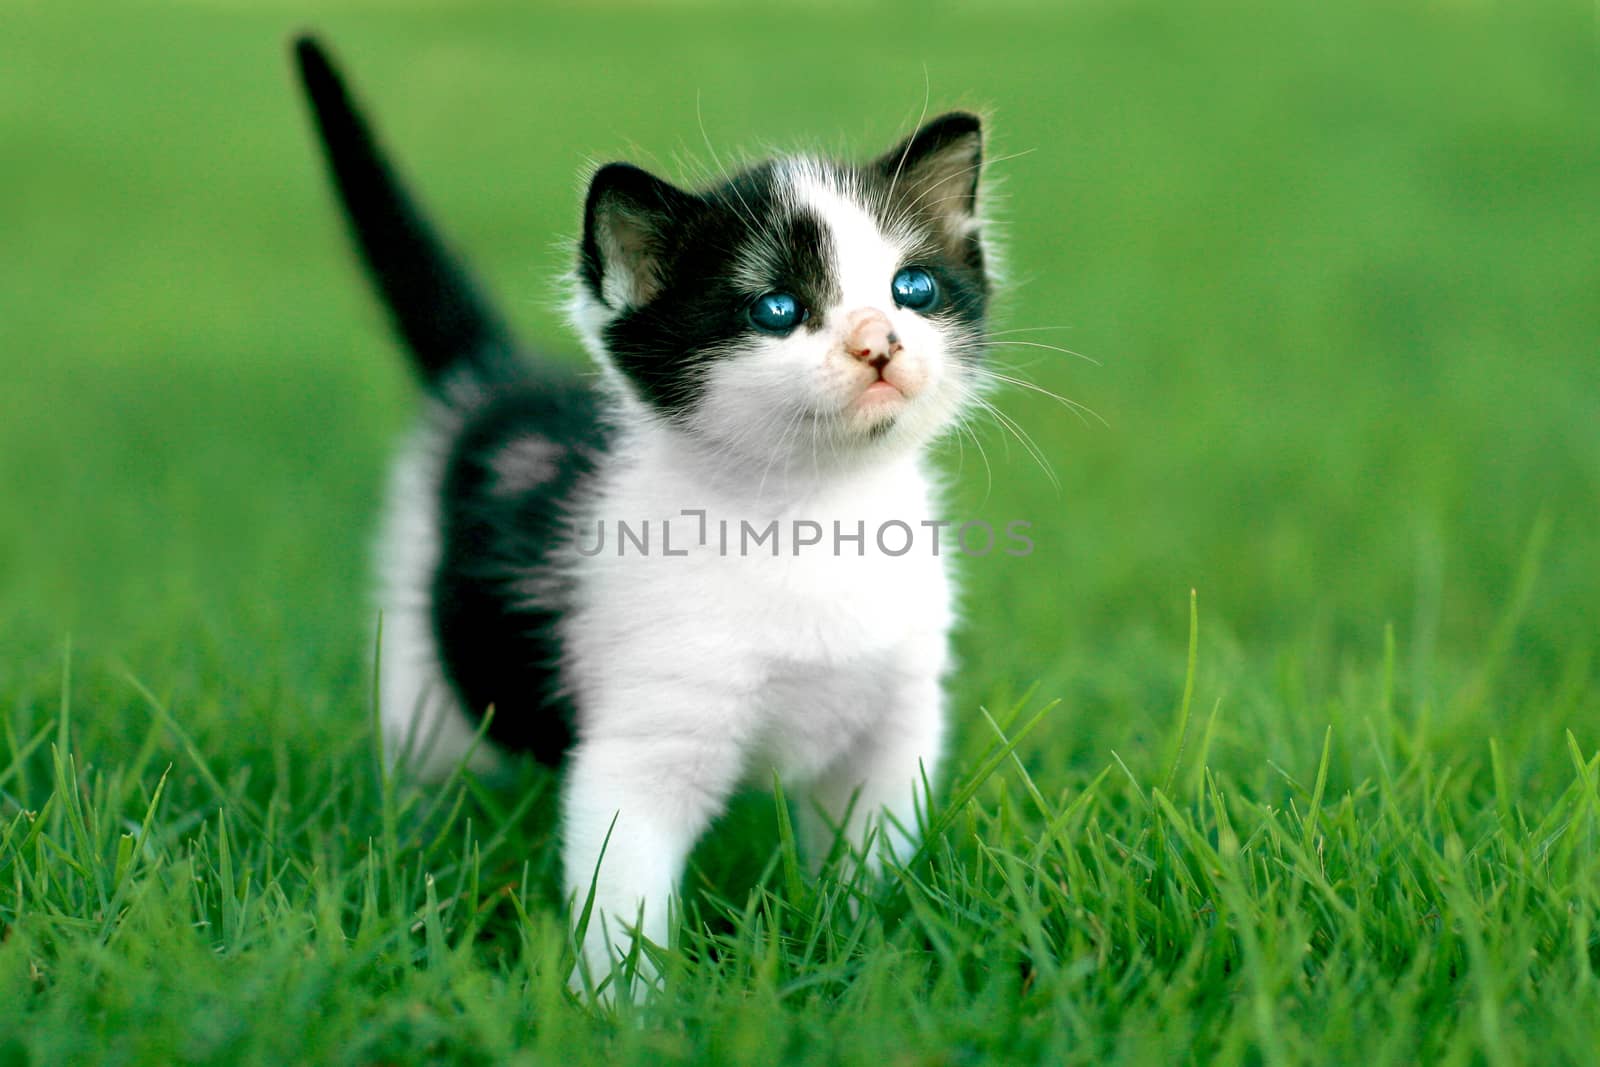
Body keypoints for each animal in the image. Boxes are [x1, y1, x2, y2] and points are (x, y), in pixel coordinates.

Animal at [289, 35, 985, 1004]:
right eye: (778, 308)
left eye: (913, 287)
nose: (879, 341)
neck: (811, 513)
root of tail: (500, 380)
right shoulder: (641, 743)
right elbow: (623, 895)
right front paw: (628, 1009)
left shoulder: (898, 721)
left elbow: (870, 858)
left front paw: (864, 951)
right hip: (419, 645)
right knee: (429, 754)